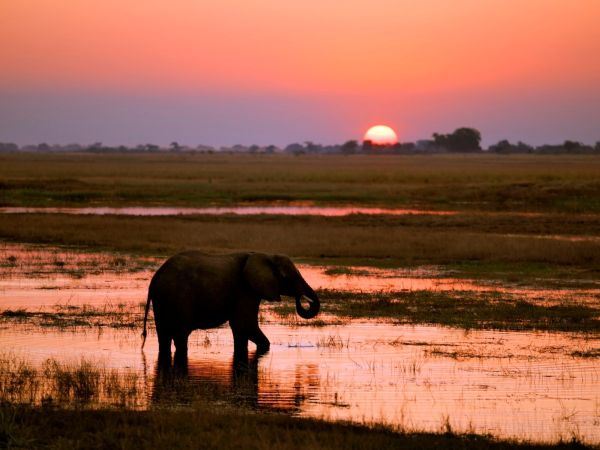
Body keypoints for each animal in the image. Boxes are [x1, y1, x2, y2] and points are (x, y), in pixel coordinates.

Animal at [142, 253, 318, 362]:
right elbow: (245, 325)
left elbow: (241, 330)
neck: (266, 256)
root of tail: (155, 277)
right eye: (287, 277)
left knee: (164, 336)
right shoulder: (245, 289)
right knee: (180, 335)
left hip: (162, 299)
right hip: (177, 297)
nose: (302, 298)